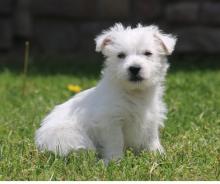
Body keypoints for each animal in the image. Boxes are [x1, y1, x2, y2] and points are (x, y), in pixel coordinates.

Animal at [35, 23, 177, 162]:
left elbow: (152, 138)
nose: (134, 68)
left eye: (148, 53)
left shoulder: (151, 118)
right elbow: (116, 142)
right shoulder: (110, 121)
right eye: (120, 55)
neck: (134, 93)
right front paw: (115, 161)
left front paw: (158, 154)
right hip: (69, 136)